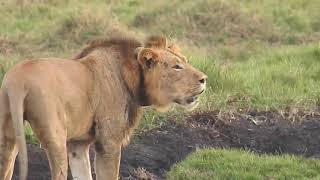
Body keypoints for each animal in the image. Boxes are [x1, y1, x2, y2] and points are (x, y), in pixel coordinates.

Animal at [0, 35, 206, 180]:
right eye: (176, 67)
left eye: (185, 61)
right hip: (55, 137)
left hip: (8, 135)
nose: (205, 79)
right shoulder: (109, 141)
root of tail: (18, 80)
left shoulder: (78, 144)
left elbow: (84, 174)